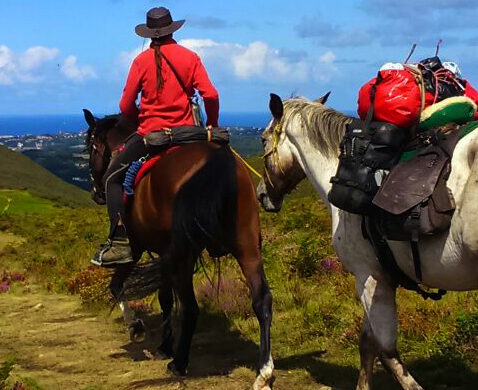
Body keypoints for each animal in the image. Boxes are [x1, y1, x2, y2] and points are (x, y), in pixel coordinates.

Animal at [84, 109, 274, 390]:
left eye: (92, 148)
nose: (96, 193)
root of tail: (217, 163)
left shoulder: (138, 248)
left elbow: (118, 286)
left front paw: (137, 328)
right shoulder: (166, 254)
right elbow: (164, 299)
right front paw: (164, 345)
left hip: (185, 253)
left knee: (190, 306)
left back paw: (180, 363)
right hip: (247, 246)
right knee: (262, 300)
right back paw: (264, 372)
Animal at [260, 93, 478, 390]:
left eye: (263, 138)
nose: (262, 195)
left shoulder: (368, 277)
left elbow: (386, 352)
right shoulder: (378, 277)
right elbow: (367, 343)